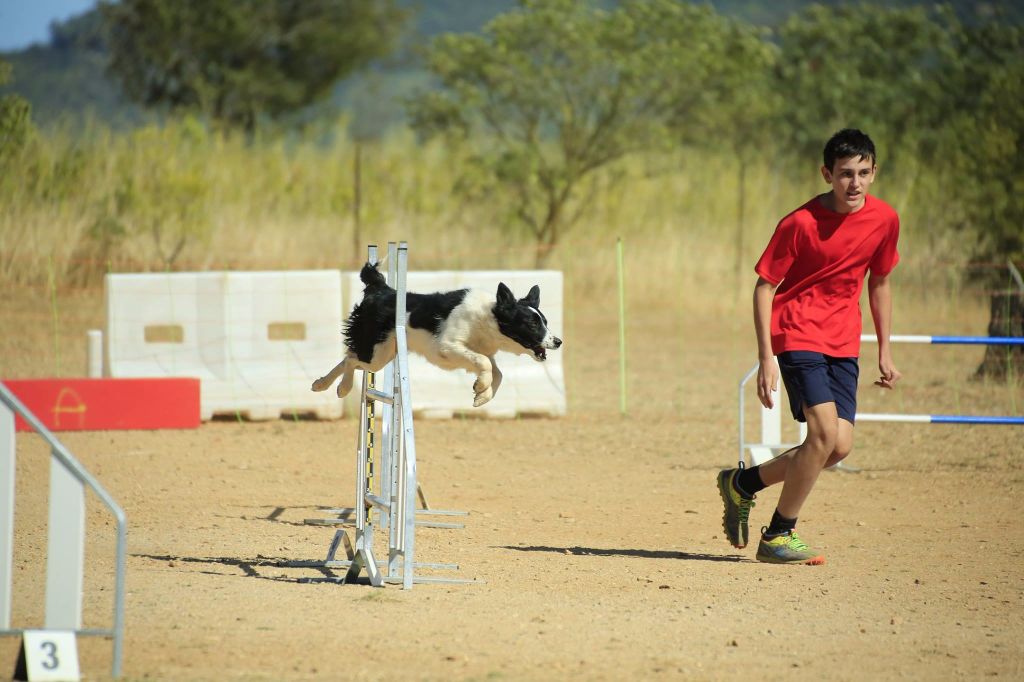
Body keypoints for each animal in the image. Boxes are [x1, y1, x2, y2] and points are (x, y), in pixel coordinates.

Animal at [313, 262, 565, 405]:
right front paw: (480, 387)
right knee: (352, 360)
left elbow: (498, 372)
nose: (558, 341)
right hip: (377, 354)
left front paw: (482, 396)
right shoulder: (448, 346)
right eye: (532, 324)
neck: (487, 319)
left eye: (545, 321)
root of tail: (381, 289)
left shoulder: (477, 352)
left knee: (349, 357)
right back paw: (342, 387)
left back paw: (321, 384)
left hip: (382, 354)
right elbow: (485, 364)